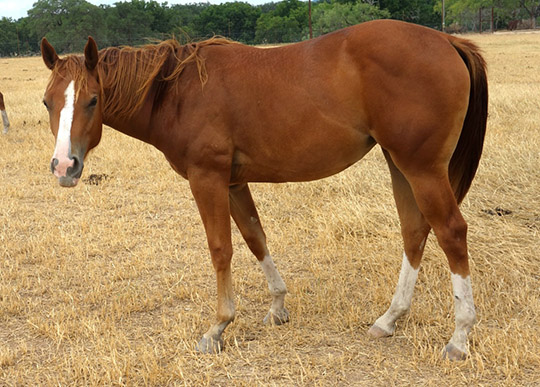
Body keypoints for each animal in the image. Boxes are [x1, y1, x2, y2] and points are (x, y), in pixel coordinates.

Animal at [40, 20, 488, 360]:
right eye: (47, 102)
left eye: (92, 100)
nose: (64, 167)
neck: (177, 92)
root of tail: (447, 40)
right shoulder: (234, 181)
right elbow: (255, 238)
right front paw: (278, 305)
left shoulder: (207, 178)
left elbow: (221, 248)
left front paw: (218, 327)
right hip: (401, 165)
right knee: (414, 233)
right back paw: (390, 319)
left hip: (422, 169)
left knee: (451, 233)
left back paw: (460, 337)